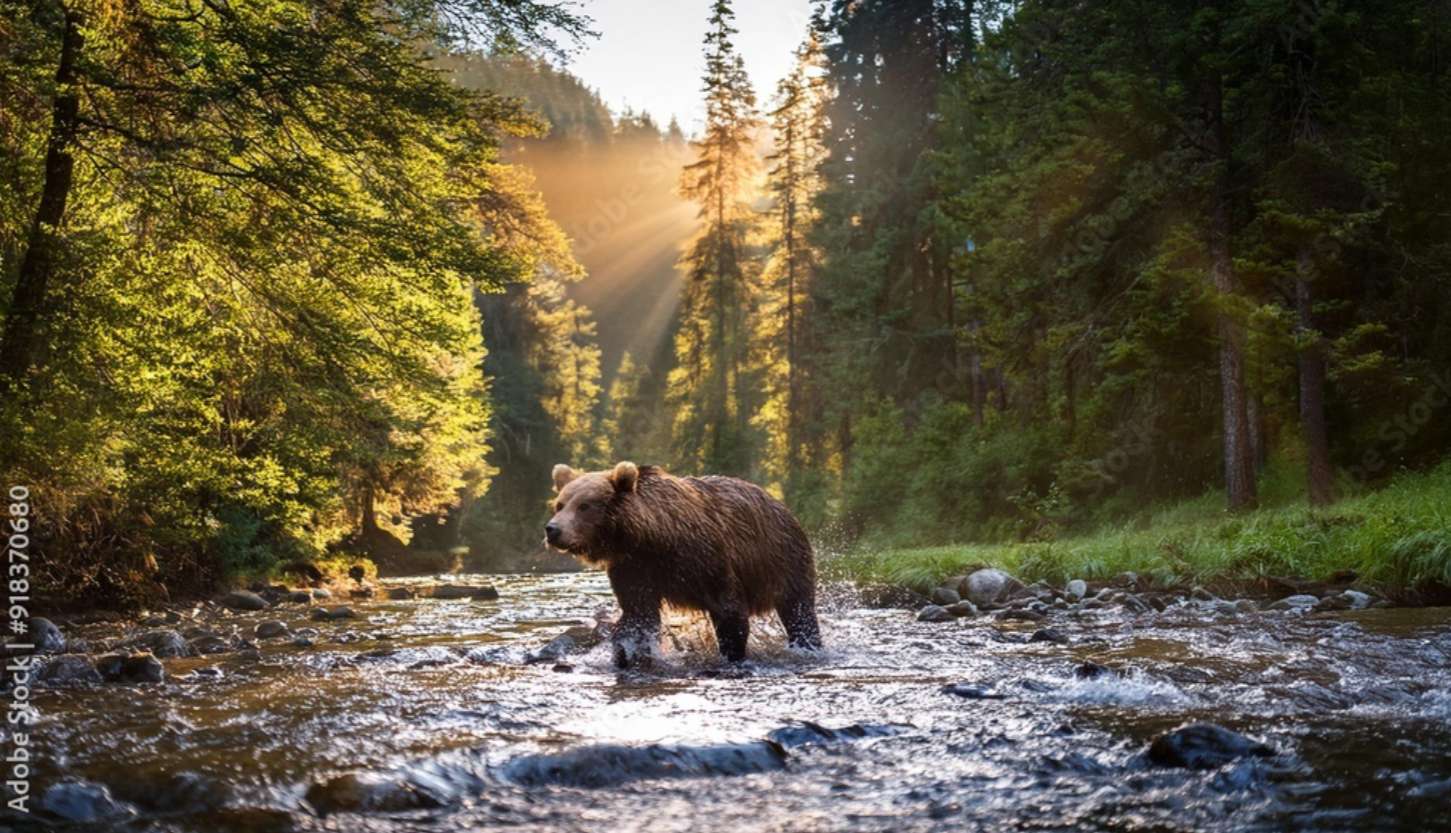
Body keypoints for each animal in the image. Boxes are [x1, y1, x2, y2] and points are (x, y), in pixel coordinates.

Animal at [545, 461, 824, 670]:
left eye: (584, 506)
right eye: (560, 504)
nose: (553, 529)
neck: (651, 537)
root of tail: (780, 504)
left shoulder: (704, 559)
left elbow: (729, 610)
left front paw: (732, 654)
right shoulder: (633, 568)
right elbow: (638, 615)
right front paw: (627, 654)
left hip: (783, 559)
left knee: (798, 610)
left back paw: (808, 644)